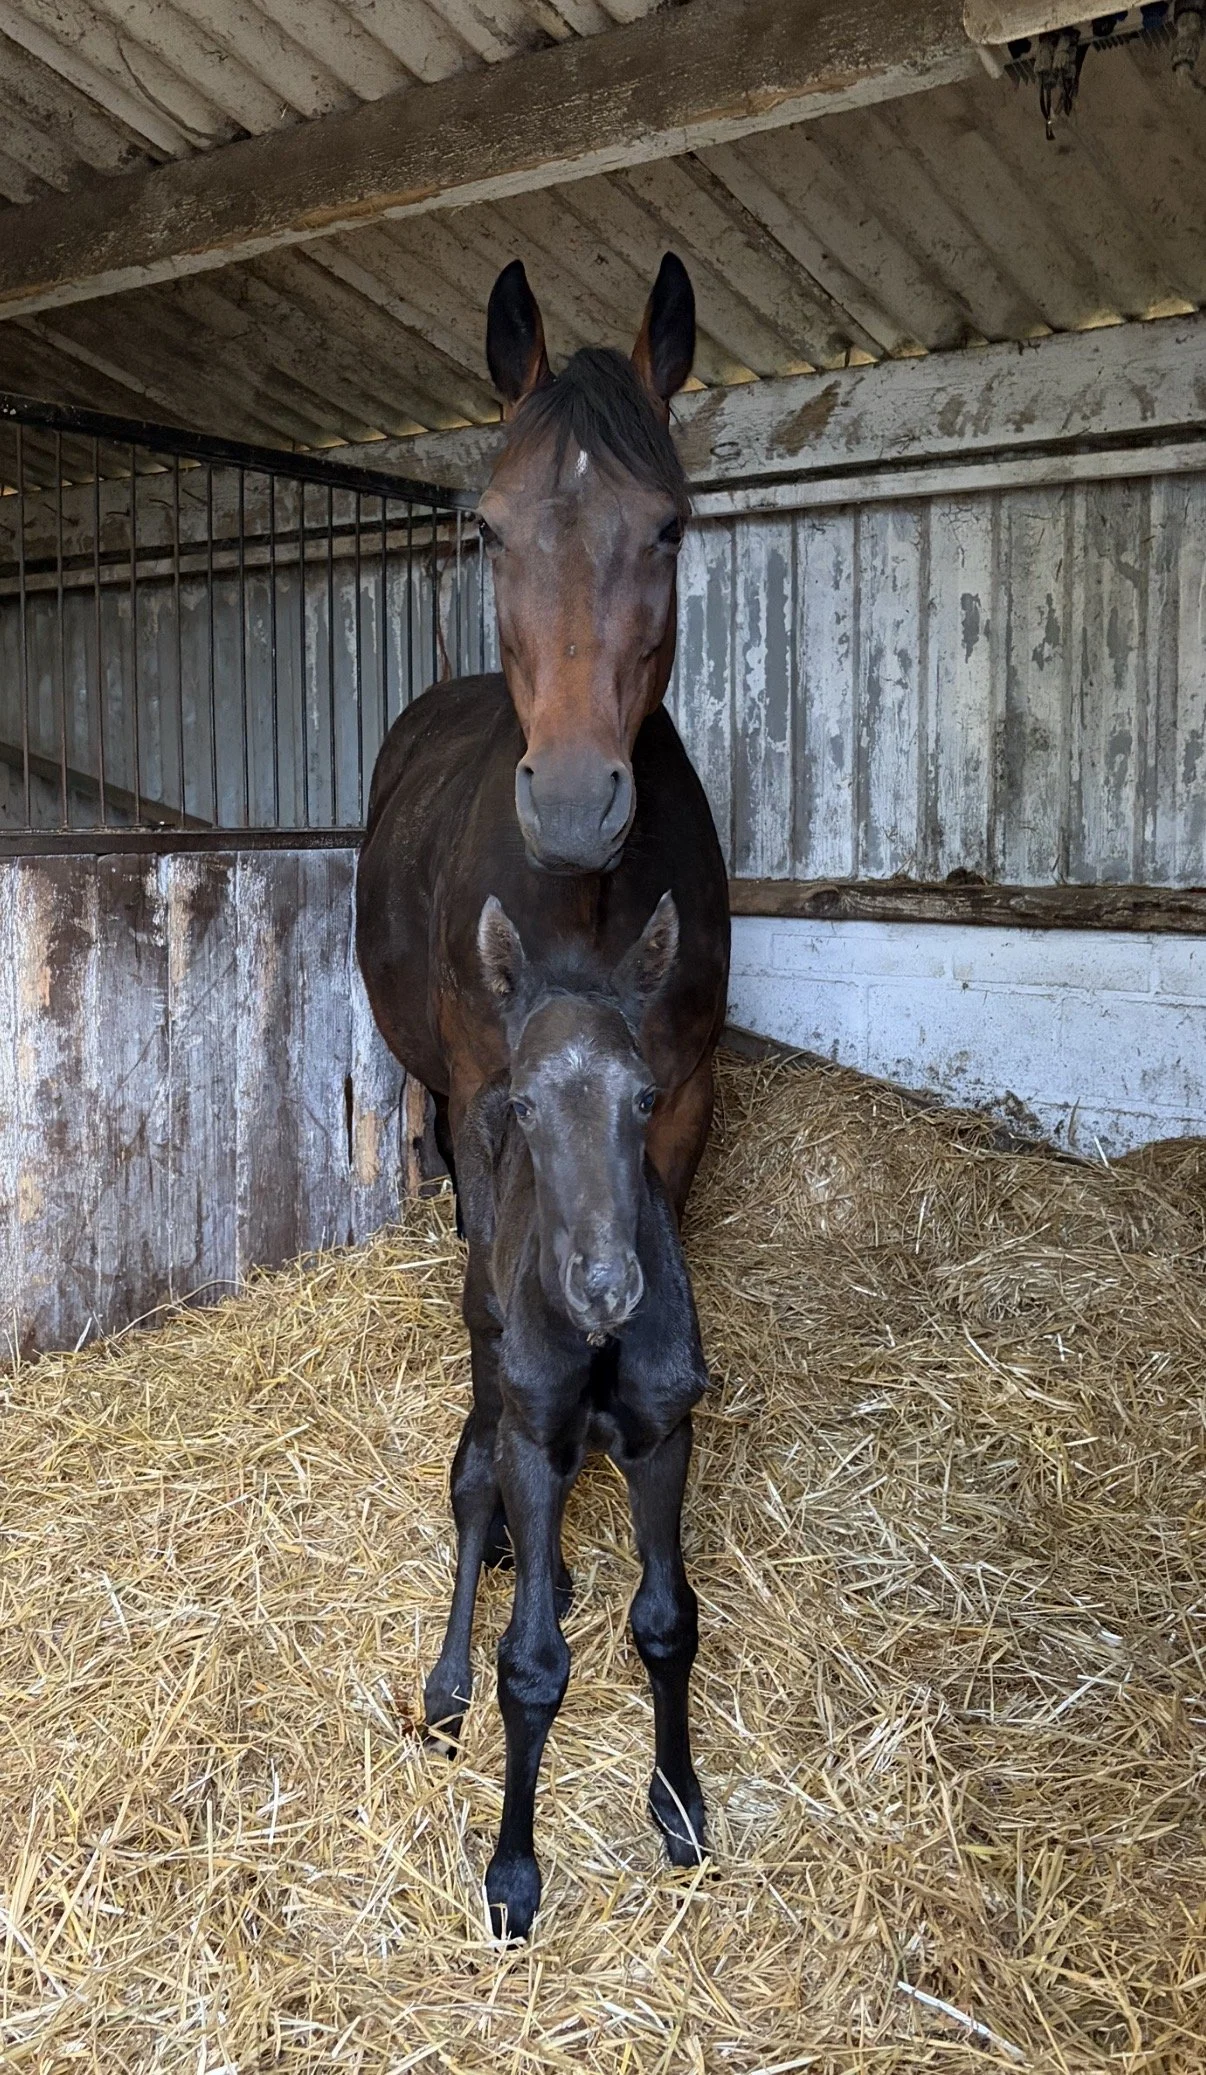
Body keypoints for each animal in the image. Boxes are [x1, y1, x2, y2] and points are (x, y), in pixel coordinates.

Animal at [424, 893, 709, 1940]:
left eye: (646, 1096)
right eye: (529, 1107)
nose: (604, 1284)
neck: (598, 1346)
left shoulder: (666, 1436)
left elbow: (667, 1622)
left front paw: (679, 1803)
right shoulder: (528, 1432)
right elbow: (532, 1664)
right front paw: (513, 1874)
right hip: (486, 1355)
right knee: (473, 1486)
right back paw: (445, 1686)